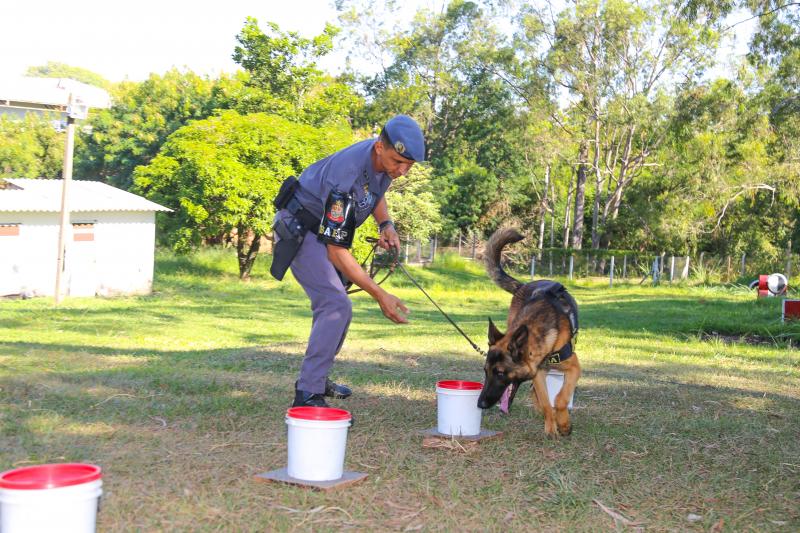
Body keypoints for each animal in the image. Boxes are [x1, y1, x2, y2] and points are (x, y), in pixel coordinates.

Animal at [476, 227, 580, 434]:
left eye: (500, 373)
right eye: (485, 371)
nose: (480, 404)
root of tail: (524, 285)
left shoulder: (574, 368)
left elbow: (561, 398)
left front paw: (564, 423)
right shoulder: (538, 373)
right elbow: (547, 402)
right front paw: (551, 426)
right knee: (535, 393)